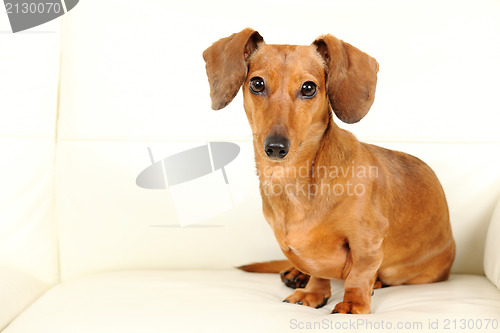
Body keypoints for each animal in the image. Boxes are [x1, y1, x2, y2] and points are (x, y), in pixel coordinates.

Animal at [201, 29, 456, 314]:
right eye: (257, 83)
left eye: (308, 88)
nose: (276, 148)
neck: (292, 181)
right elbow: (318, 271)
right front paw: (313, 292)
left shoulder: (368, 241)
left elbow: (360, 274)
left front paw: (353, 304)